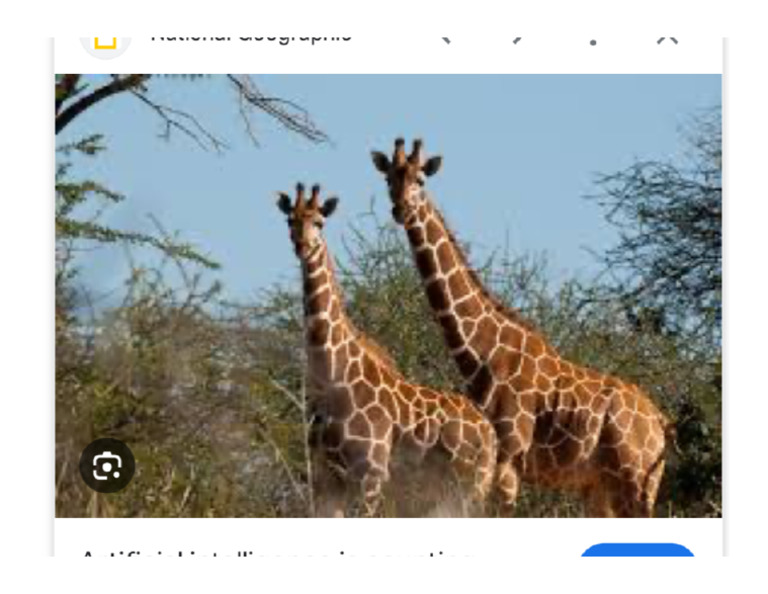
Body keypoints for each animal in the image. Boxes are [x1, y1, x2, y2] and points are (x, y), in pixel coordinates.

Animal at [276, 182, 497, 517]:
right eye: (291, 220)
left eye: (319, 222)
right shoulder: (325, 477)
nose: (302, 245)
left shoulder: (370, 474)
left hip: (472, 487)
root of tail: (490, 434)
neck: (333, 373)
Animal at [371, 138, 672, 517]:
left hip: (637, 484)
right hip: (601, 488)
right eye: (388, 179)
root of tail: (660, 422)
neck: (479, 350)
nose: (401, 209)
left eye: (421, 179)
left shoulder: (509, 456)